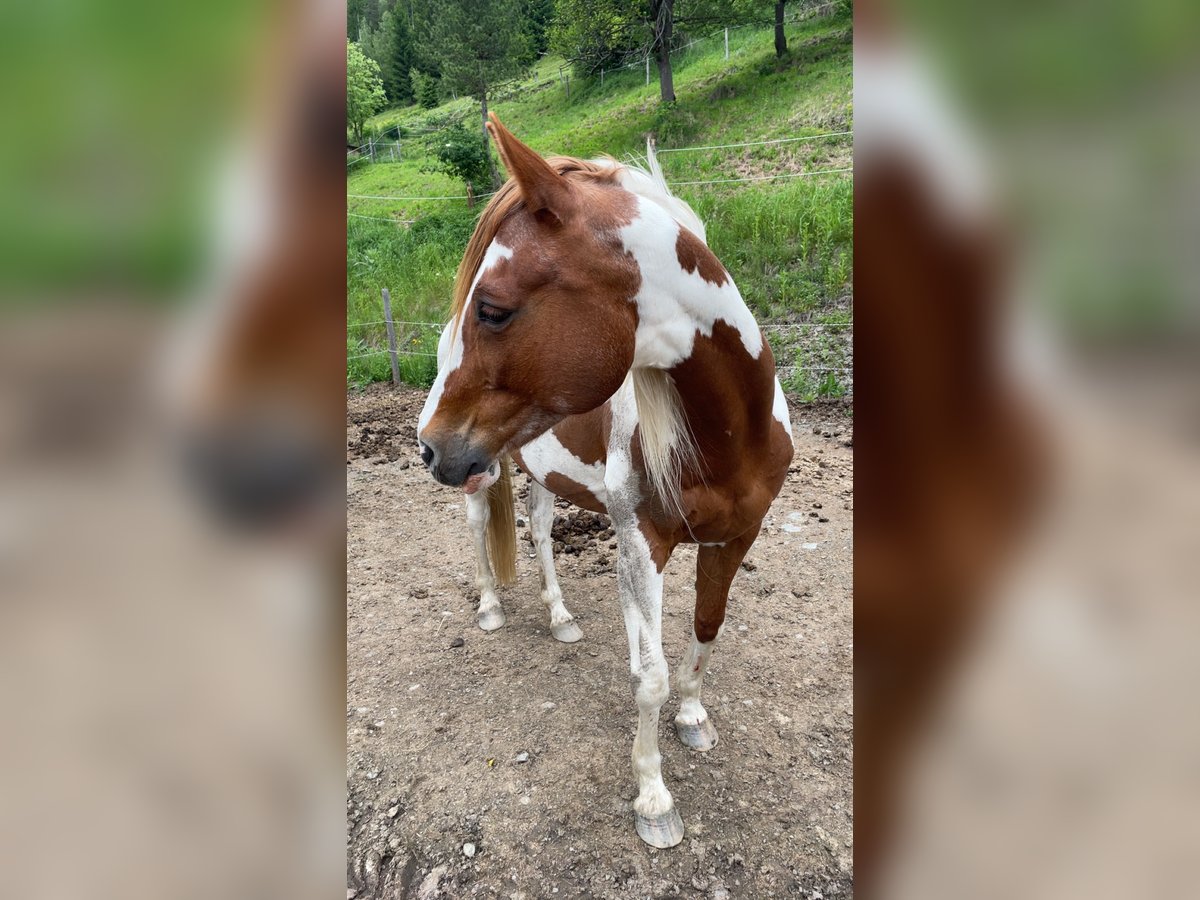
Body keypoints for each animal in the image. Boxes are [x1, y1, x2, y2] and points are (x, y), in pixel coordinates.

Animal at [415, 114, 796, 854]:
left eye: (494, 309)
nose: (429, 447)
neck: (730, 436)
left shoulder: (738, 536)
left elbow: (706, 627)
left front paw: (694, 717)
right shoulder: (641, 544)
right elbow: (647, 676)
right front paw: (653, 797)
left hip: (535, 469)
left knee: (538, 532)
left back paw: (560, 617)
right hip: (481, 473)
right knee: (480, 530)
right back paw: (491, 607)